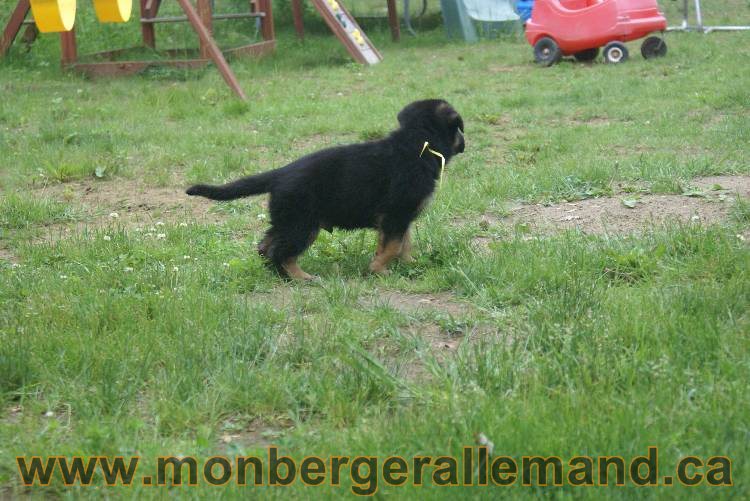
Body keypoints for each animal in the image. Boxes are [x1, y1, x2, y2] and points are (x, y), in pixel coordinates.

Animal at [187, 97, 464, 278]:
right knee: (280, 252)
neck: (418, 145)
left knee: (265, 247)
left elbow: (404, 243)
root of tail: (280, 173)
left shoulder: (401, 217)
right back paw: (302, 278)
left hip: (286, 220)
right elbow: (392, 246)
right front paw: (378, 270)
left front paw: (409, 264)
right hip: (302, 225)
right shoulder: (396, 214)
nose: (465, 142)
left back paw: (279, 275)